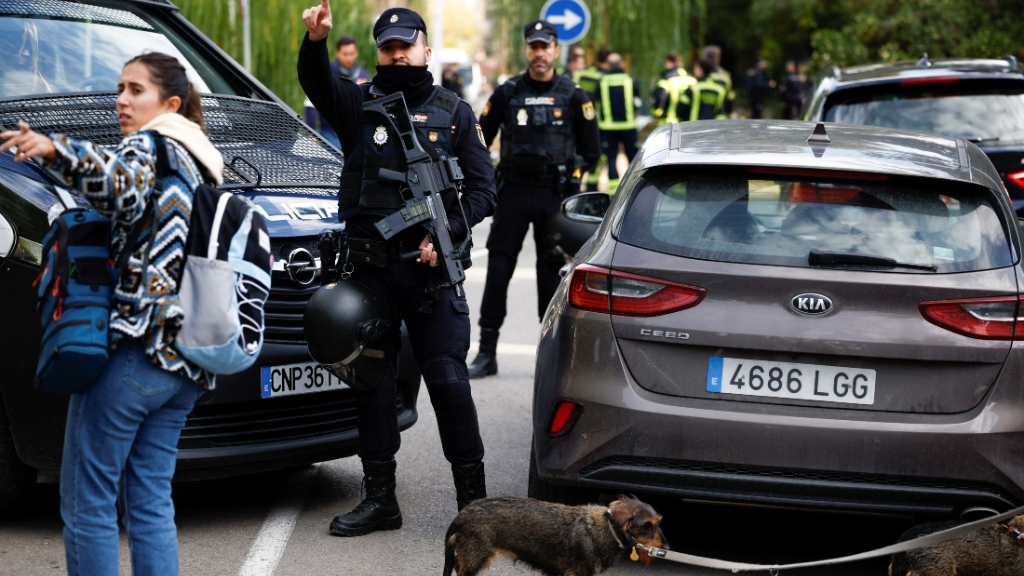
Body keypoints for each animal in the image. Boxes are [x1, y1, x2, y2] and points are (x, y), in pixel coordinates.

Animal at [442, 494, 667, 573]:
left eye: (658, 523)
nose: (667, 548)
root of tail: (462, 514)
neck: (604, 529)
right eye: (647, 526)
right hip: (475, 559)